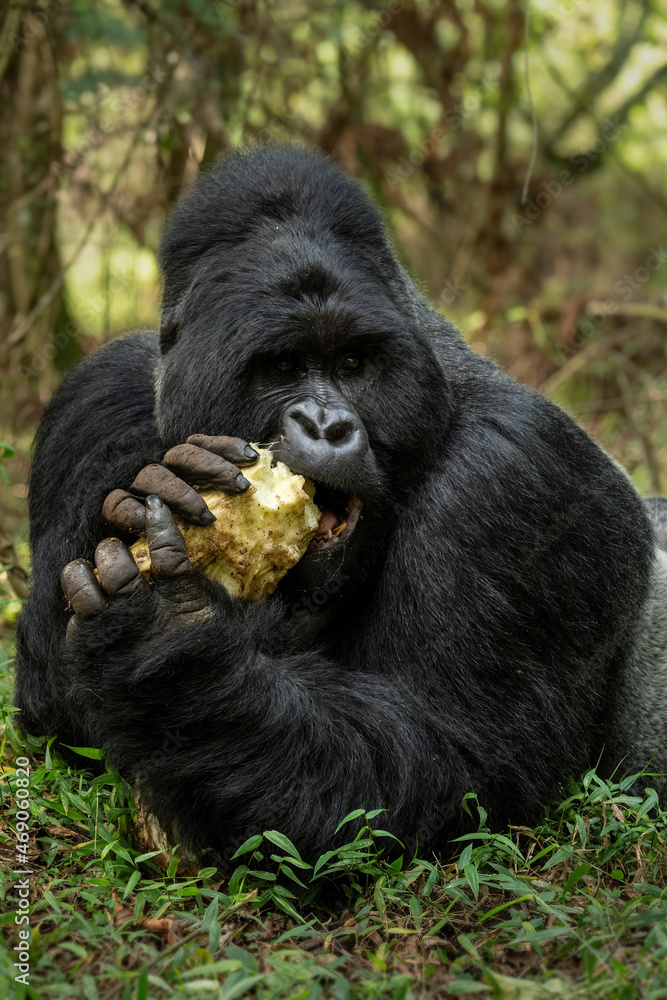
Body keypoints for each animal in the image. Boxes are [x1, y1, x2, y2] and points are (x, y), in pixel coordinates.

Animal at [11, 143, 667, 868]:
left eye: (353, 364)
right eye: (281, 368)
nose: (324, 425)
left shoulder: (516, 469)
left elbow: (452, 760)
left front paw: (162, 637)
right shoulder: (94, 400)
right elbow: (51, 700)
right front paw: (142, 507)